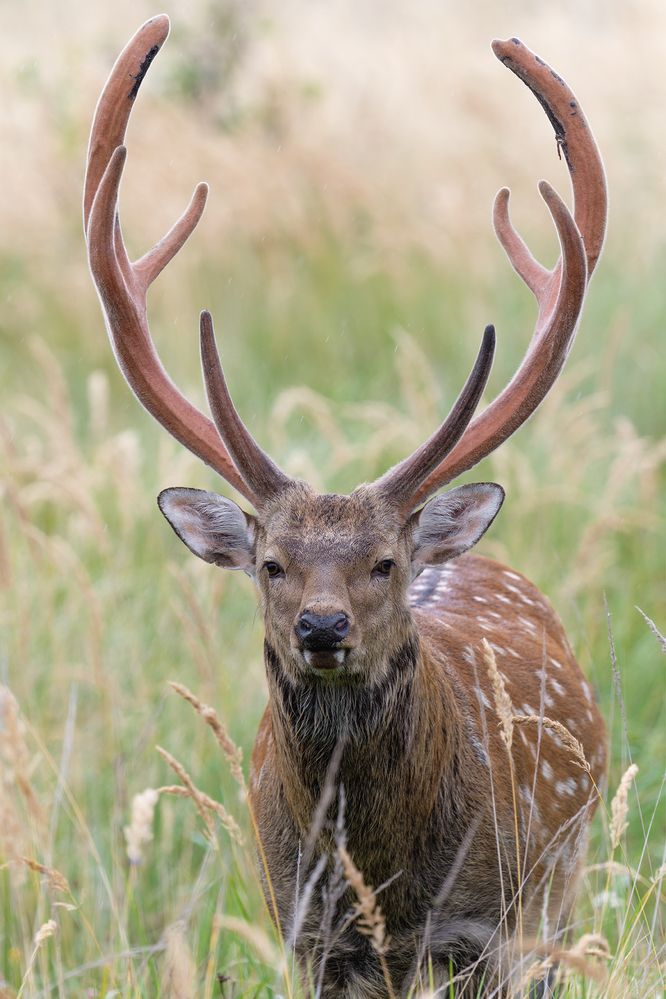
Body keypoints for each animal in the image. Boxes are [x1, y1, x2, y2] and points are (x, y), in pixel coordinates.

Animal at [84, 16, 608, 997]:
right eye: (271, 563)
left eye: (385, 562)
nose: (322, 627)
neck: (387, 885)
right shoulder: (306, 935)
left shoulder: (492, 926)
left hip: (562, 886)